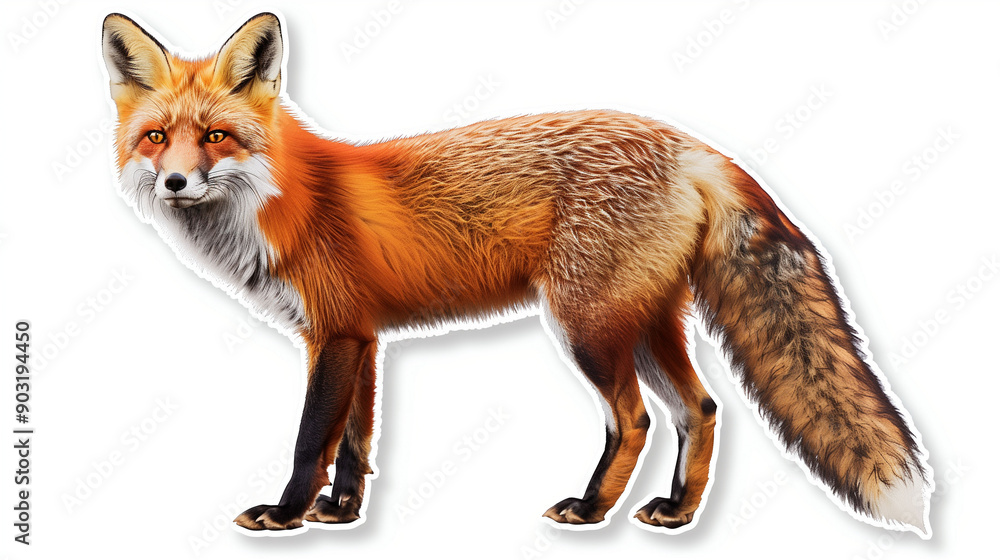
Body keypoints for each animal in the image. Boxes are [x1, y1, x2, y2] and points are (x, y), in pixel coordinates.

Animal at [101, 12, 932, 537]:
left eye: (216, 136)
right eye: (156, 137)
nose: (175, 183)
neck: (280, 203)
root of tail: (689, 144)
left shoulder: (333, 335)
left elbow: (313, 438)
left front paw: (286, 516)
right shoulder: (362, 338)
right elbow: (356, 444)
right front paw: (340, 516)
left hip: (587, 327)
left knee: (634, 419)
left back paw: (592, 512)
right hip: (645, 323)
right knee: (701, 410)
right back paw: (676, 514)